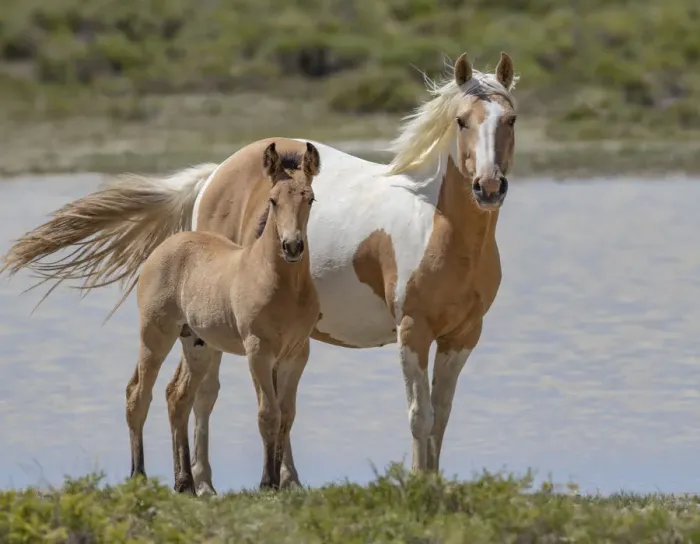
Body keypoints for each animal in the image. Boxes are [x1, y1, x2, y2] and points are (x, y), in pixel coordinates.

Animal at [128, 141, 320, 492]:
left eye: (309, 198)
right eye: (273, 200)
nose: (292, 246)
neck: (282, 285)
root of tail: (168, 245)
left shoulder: (297, 353)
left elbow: (286, 414)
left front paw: (281, 481)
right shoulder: (258, 351)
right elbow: (268, 413)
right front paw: (267, 482)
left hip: (197, 343)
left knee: (178, 396)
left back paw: (186, 483)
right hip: (155, 336)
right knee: (138, 395)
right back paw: (139, 477)